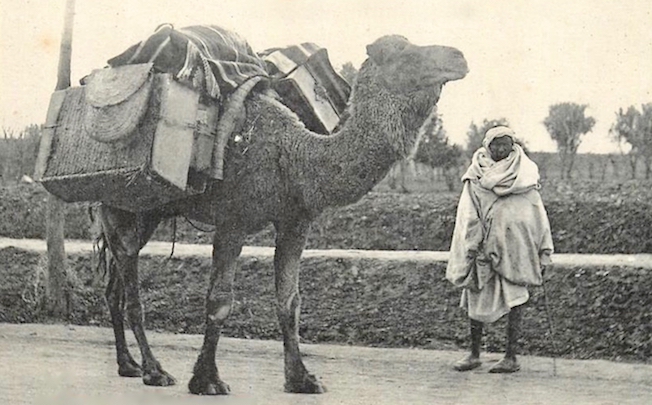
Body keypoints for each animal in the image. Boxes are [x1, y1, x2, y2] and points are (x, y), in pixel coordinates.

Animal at [97, 34, 468, 395]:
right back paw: (154, 371)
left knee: (115, 286)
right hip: (120, 205)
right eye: (403, 52)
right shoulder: (233, 220)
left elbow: (290, 302)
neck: (294, 155)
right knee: (130, 289)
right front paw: (207, 380)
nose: (459, 56)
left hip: (146, 213)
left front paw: (302, 379)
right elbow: (220, 301)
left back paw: (128, 365)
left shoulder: (295, 223)